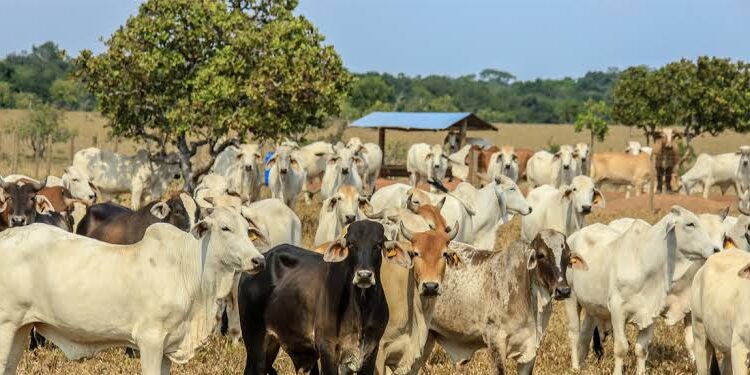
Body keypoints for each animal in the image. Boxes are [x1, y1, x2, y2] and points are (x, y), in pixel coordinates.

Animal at [0, 209, 268, 375]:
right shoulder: (150, 340)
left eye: (247, 230)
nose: (258, 260)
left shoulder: (168, 347)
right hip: (6, 325)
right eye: (225, 228)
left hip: (21, 328)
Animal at [239, 220, 412, 375]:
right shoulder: (327, 349)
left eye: (378, 244)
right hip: (255, 344)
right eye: (351, 244)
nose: (364, 275)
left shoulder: (371, 351)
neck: (360, 309)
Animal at [568, 207, 720, 374]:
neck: (644, 261)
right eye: (690, 224)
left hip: (592, 307)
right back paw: (575, 366)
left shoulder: (650, 311)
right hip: (571, 297)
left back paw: (583, 364)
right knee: (574, 333)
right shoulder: (617, 310)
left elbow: (641, 349)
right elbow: (621, 348)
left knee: (585, 334)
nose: (715, 249)